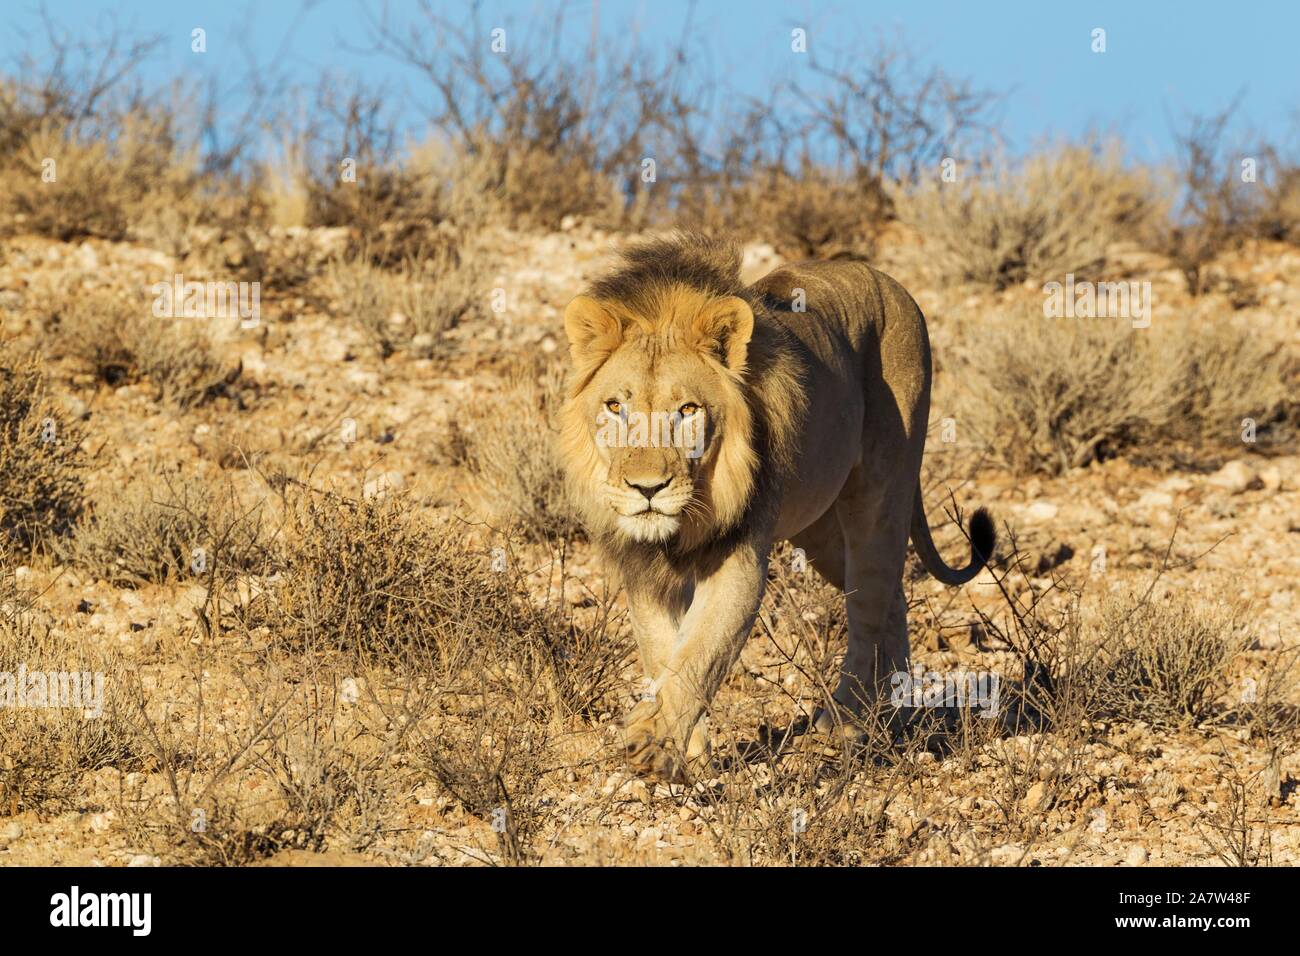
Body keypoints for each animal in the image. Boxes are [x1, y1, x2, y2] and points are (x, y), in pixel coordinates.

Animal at [559, 234, 993, 785]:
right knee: (891, 597)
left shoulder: (739, 559)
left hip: (880, 492)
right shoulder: (644, 570)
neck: (684, 522)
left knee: (870, 604)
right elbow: (663, 651)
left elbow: (701, 652)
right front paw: (689, 752)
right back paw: (889, 714)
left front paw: (652, 745)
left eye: (688, 410)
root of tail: (893, 284)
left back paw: (848, 723)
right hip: (818, 529)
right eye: (616, 407)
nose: (647, 488)